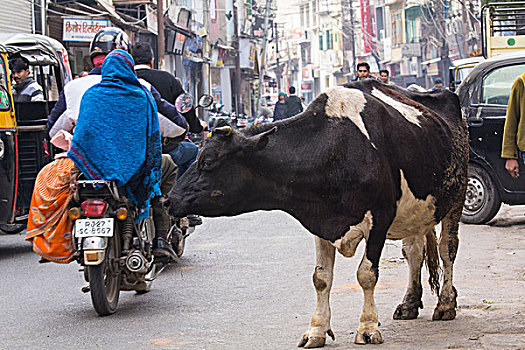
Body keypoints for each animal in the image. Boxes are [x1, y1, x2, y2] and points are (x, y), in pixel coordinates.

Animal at [169, 80, 466, 348]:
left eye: (207, 161)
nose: (169, 199)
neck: (335, 150)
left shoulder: (380, 218)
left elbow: (367, 274)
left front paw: (368, 327)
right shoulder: (320, 221)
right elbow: (321, 279)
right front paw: (316, 331)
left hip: (456, 198)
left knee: (447, 250)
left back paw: (445, 304)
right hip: (416, 212)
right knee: (414, 252)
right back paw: (409, 304)